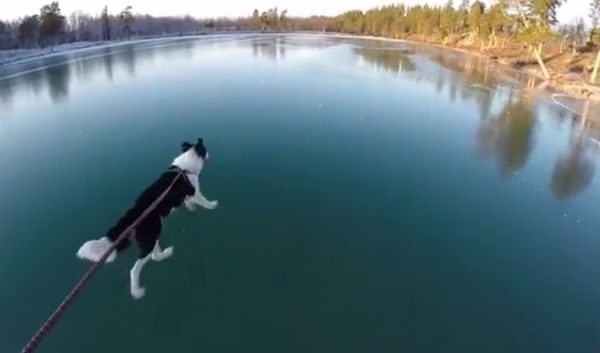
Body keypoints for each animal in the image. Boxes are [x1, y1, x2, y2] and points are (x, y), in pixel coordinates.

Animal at [76, 138, 218, 296]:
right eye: (205, 150)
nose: (210, 155)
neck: (183, 169)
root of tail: (131, 216)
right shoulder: (195, 191)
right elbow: (203, 201)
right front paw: (212, 205)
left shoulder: (187, 195)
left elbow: (189, 202)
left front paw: (191, 207)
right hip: (150, 238)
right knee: (137, 267)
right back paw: (137, 291)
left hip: (154, 233)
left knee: (155, 256)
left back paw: (165, 253)